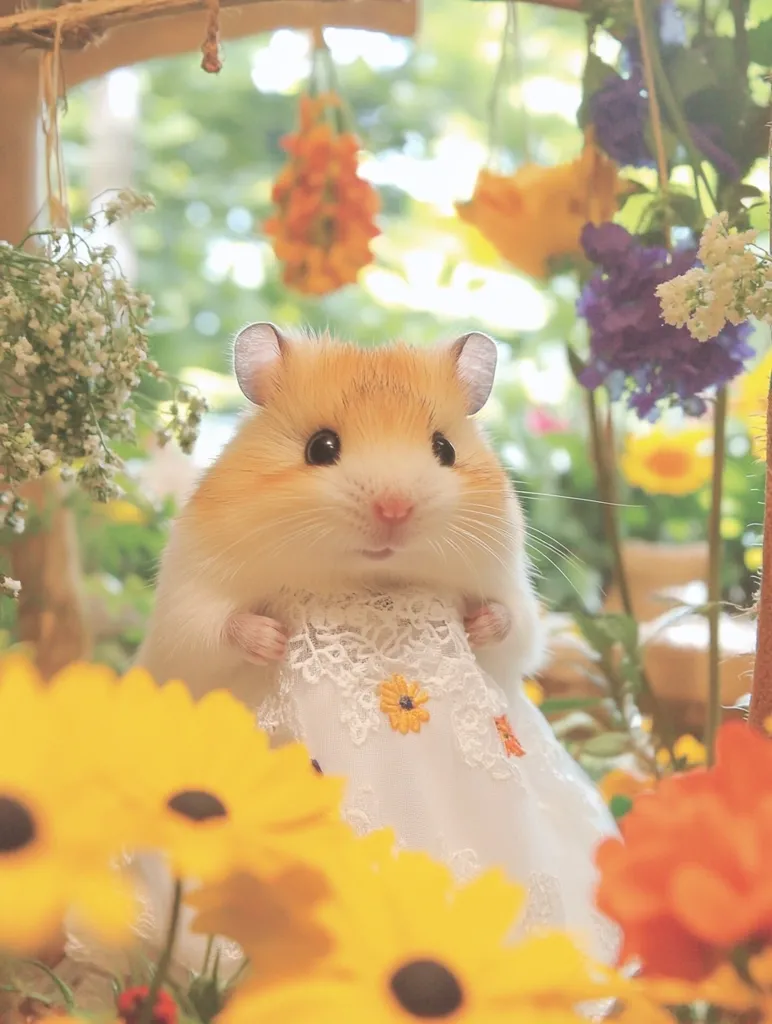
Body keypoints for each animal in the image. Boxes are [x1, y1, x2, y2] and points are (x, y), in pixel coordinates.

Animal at [136, 323, 544, 712]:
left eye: (445, 449)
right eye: (320, 447)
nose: (394, 509)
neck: (363, 577)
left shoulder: (510, 594)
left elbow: (512, 626)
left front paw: (476, 626)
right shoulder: (189, 600)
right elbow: (219, 630)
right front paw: (275, 639)